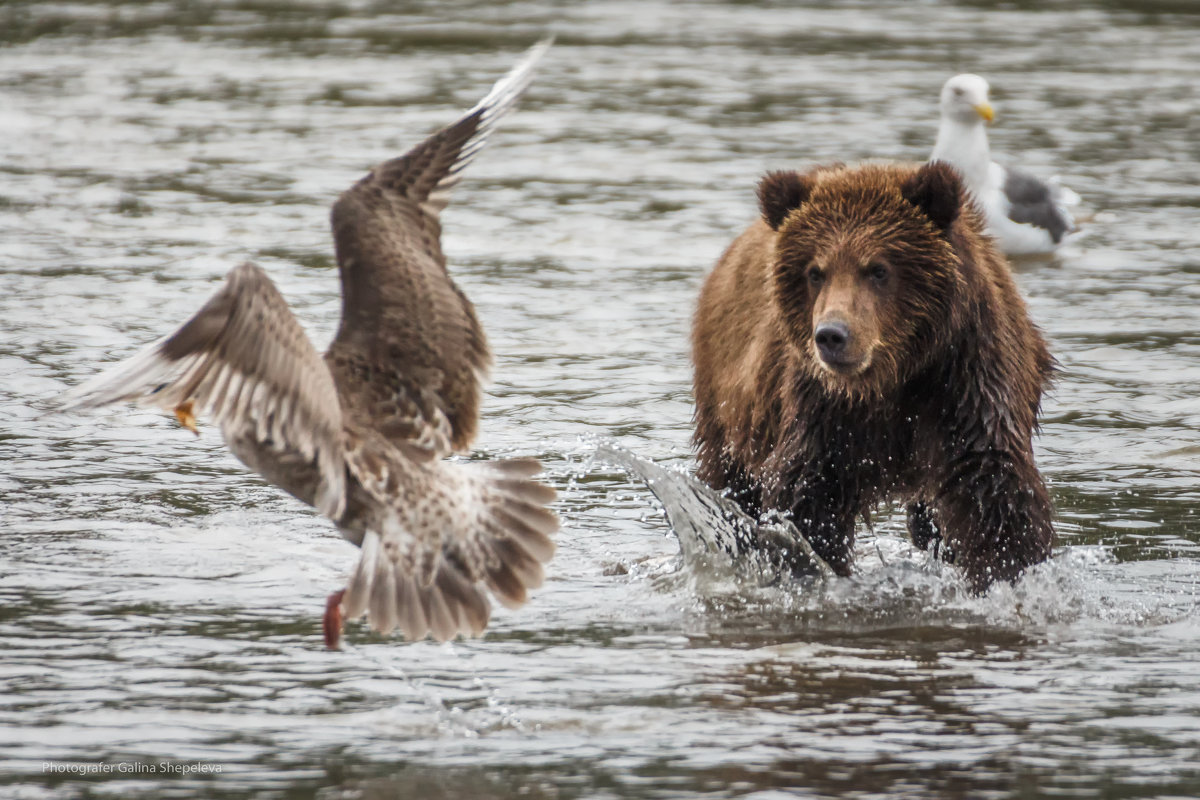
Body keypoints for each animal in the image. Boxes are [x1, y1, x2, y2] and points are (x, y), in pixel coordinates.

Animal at [696, 159, 1051, 592]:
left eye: (878, 269)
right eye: (816, 272)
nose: (832, 335)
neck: (892, 376)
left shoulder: (966, 377)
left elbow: (990, 483)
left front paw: (1008, 570)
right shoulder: (823, 409)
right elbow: (809, 495)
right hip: (727, 406)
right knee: (732, 480)